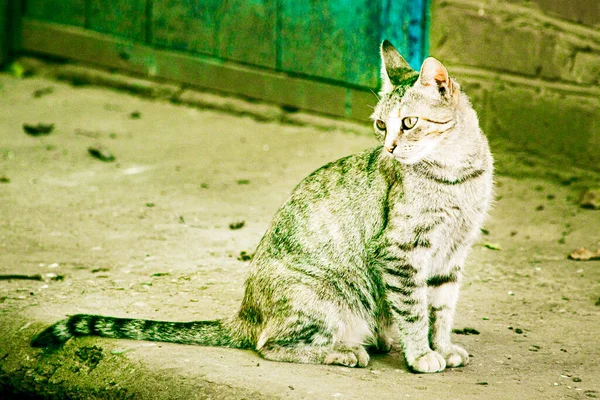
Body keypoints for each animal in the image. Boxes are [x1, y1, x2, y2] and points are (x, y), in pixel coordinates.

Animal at [31, 39, 492, 374]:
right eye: (382, 124)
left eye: (408, 123)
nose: (389, 147)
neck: (457, 175)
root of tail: (245, 311)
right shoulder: (401, 252)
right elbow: (414, 311)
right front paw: (422, 355)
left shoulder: (452, 254)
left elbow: (441, 309)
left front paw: (442, 346)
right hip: (325, 296)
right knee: (269, 343)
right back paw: (344, 352)